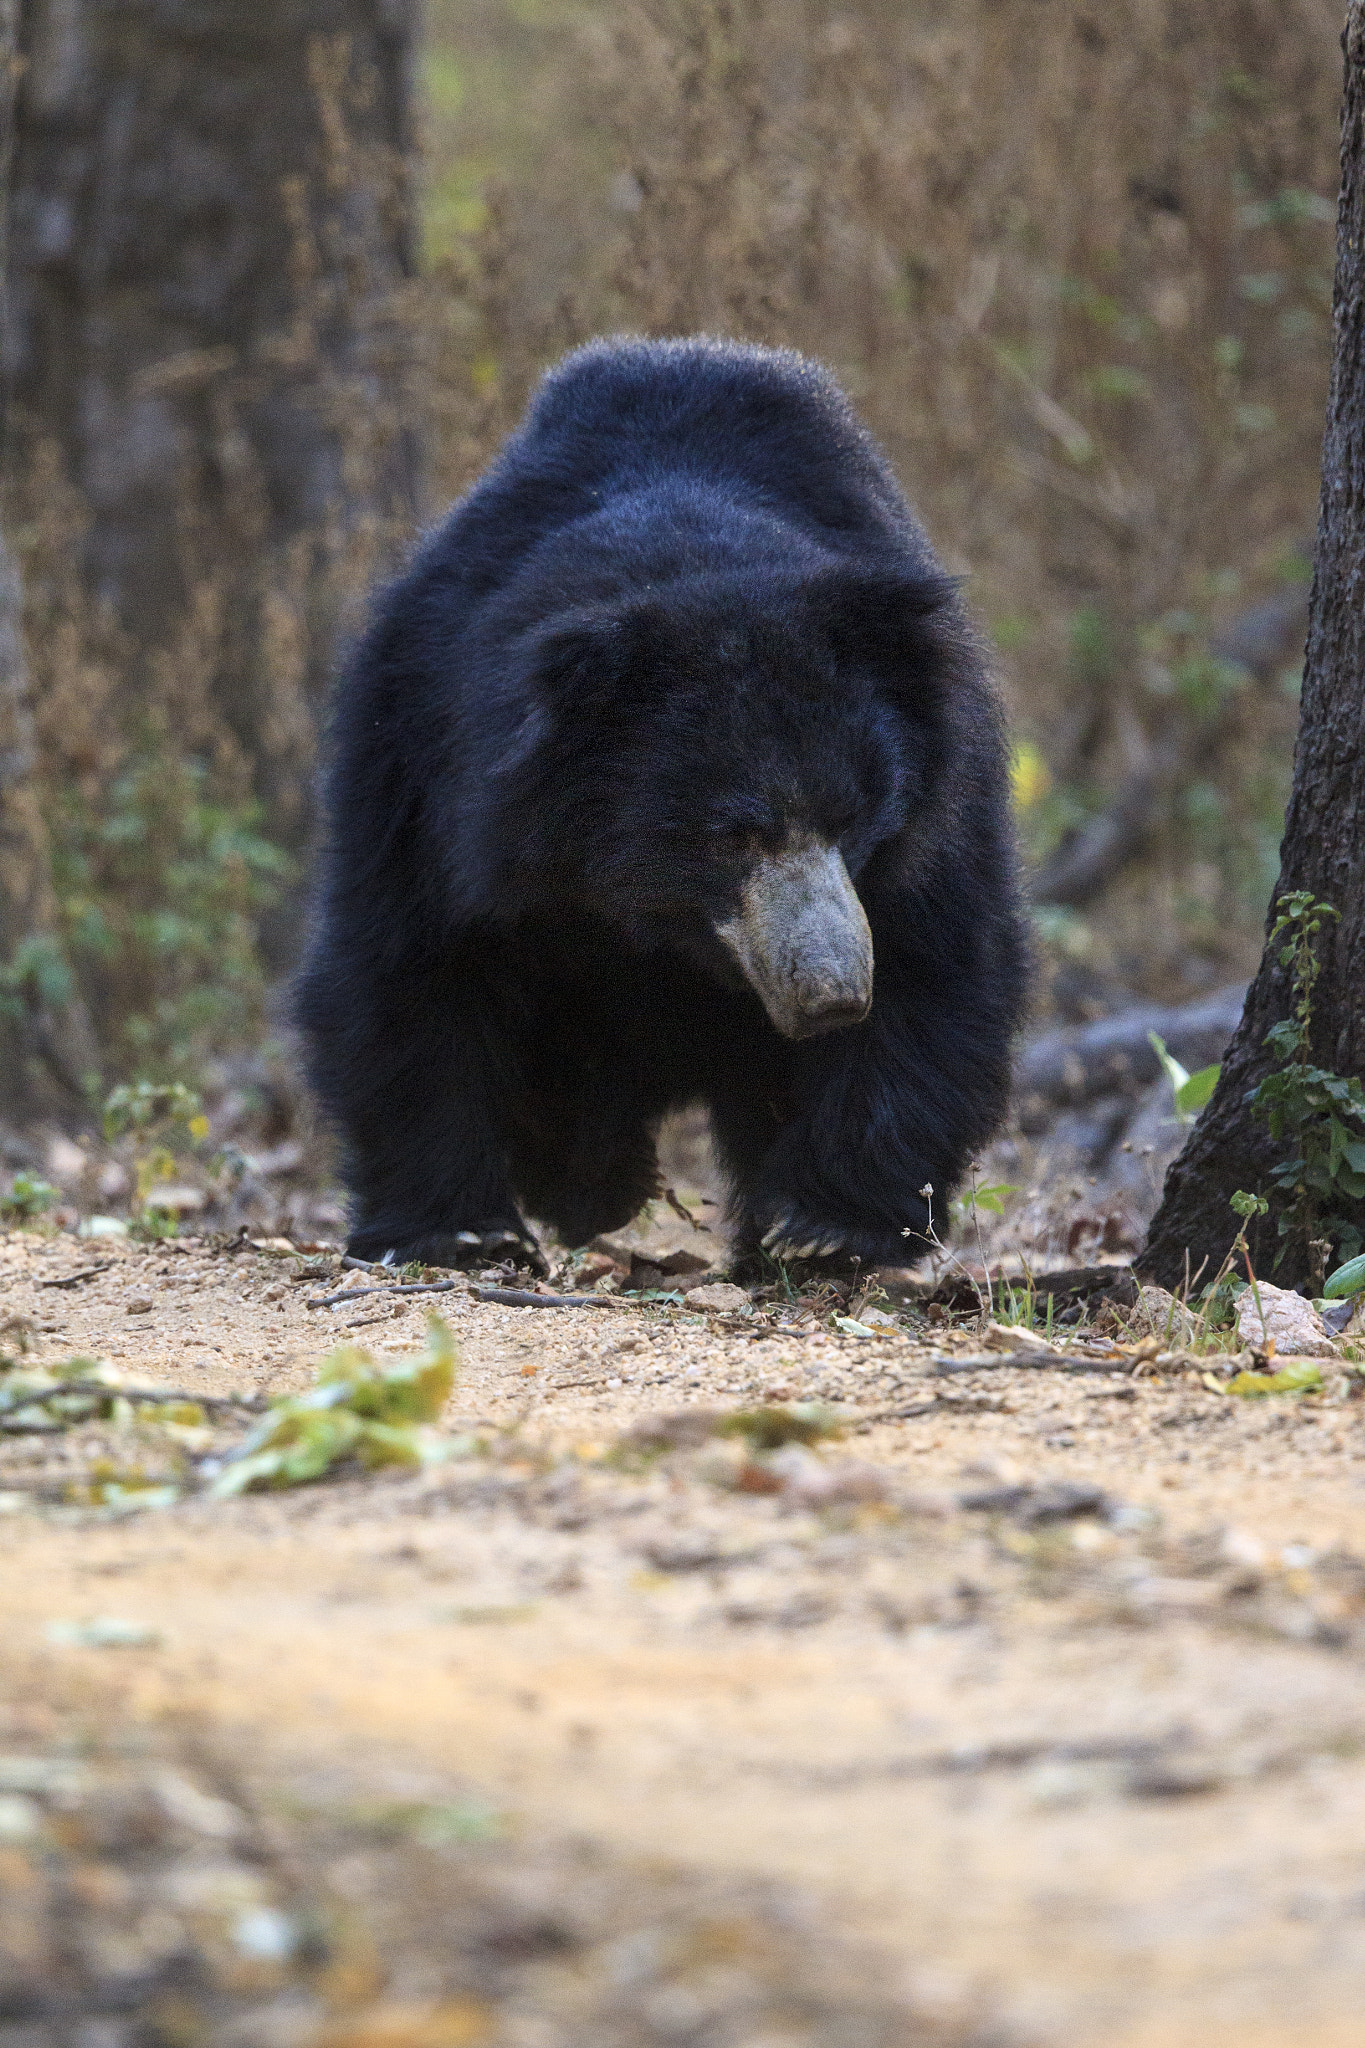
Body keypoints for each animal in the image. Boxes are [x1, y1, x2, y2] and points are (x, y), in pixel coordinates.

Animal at [296, 335, 1023, 1269]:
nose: (830, 995)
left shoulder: (942, 799)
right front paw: (459, 1231)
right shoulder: (420, 757)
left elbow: (932, 963)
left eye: (855, 819)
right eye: (735, 836)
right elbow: (414, 966)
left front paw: (824, 1227)